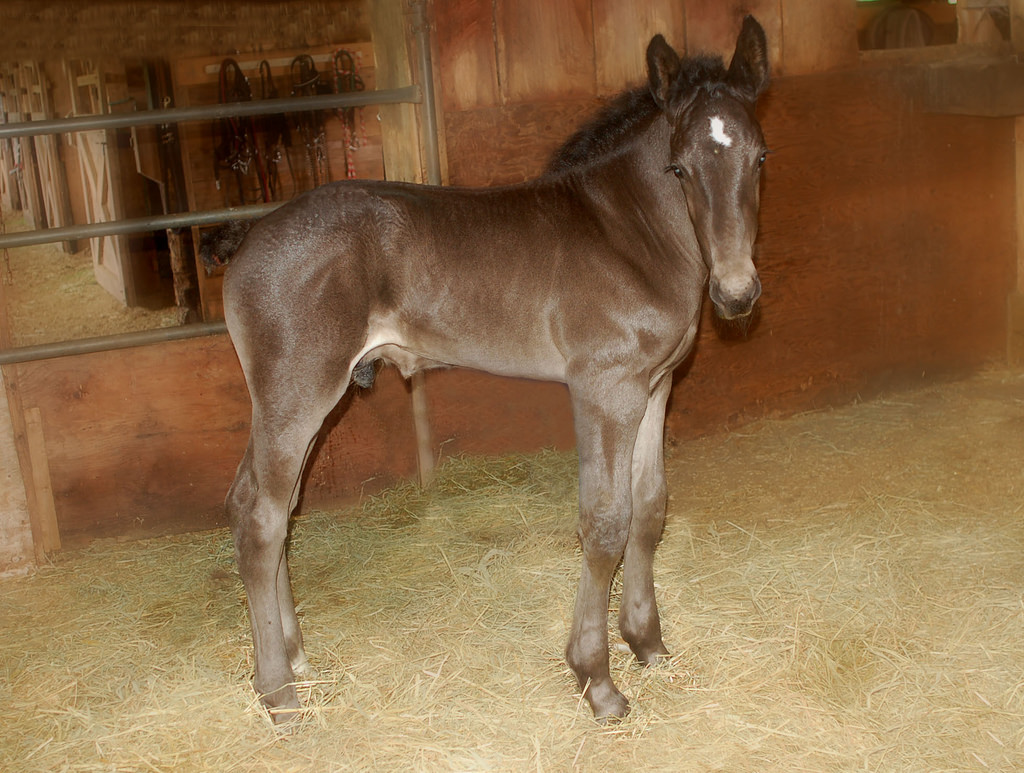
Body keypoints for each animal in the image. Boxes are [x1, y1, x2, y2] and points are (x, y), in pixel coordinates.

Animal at [222, 16, 770, 723]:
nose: (736, 293)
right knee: (261, 519)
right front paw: (596, 679)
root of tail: (245, 244)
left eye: (760, 157)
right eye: (679, 167)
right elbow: (605, 524)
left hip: (303, 400)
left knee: (271, 505)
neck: (628, 234)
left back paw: (296, 659)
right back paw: (280, 695)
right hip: (297, 394)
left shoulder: (654, 388)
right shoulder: (605, 391)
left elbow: (649, 510)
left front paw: (647, 642)